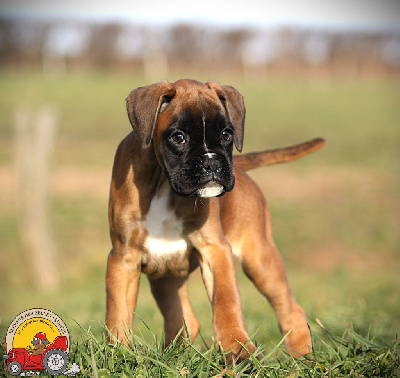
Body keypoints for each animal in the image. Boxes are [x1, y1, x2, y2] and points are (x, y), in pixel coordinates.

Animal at [104, 78, 324, 362]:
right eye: (179, 137)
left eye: (226, 134)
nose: (213, 164)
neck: (163, 183)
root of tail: (240, 166)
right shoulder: (123, 258)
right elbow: (118, 311)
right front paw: (117, 354)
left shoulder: (215, 250)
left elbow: (226, 301)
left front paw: (238, 351)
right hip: (164, 276)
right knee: (184, 320)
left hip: (261, 261)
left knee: (290, 310)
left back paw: (302, 357)